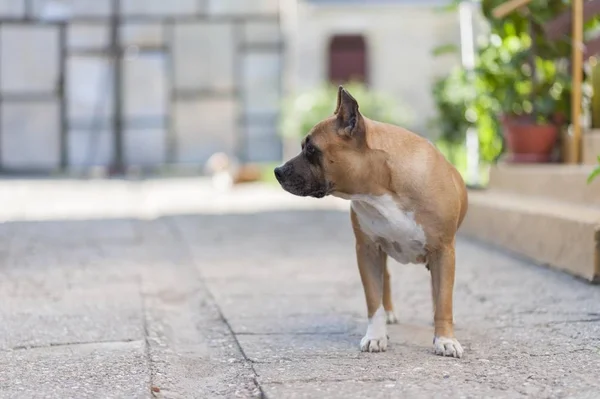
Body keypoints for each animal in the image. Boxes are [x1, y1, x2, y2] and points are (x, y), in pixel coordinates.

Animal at [276, 86, 468, 358]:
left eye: (311, 150)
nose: (277, 171)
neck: (382, 187)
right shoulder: (367, 250)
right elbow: (373, 298)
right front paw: (376, 336)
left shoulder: (443, 250)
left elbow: (443, 298)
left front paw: (445, 339)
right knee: (385, 279)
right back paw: (389, 314)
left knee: (437, 290)